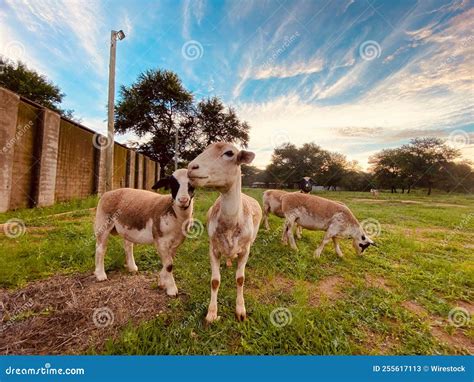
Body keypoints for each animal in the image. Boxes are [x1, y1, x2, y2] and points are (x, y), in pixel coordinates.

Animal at [93, 167, 193, 296]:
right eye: (173, 183)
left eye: (192, 184)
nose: (183, 200)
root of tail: (107, 193)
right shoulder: (160, 240)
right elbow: (169, 265)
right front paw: (172, 290)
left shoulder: (176, 242)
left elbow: (168, 263)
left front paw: (162, 281)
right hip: (103, 223)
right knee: (101, 248)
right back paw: (100, 274)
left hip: (127, 227)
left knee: (127, 246)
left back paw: (132, 267)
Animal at [188, 143, 262, 322]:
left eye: (229, 153)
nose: (191, 167)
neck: (230, 225)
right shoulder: (213, 248)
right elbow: (215, 281)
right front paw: (211, 314)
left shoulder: (245, 249)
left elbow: (240, 279)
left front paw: (241, 311)